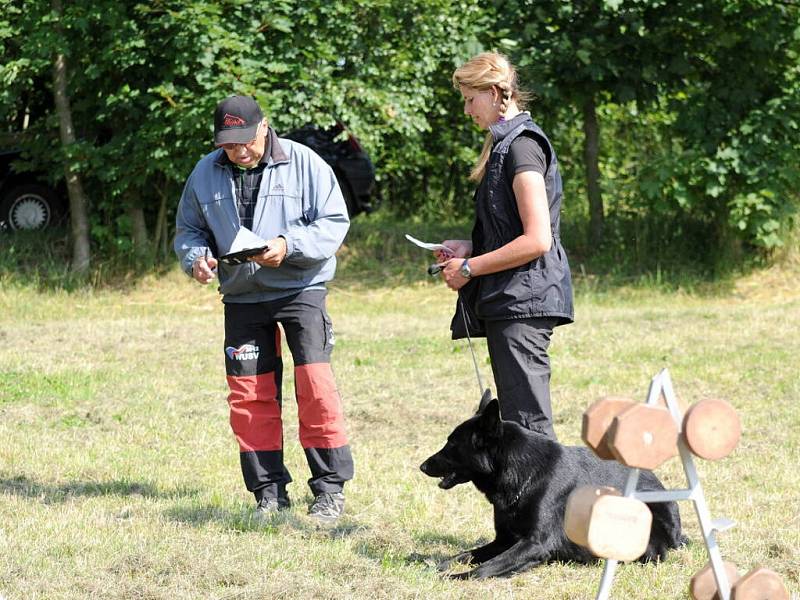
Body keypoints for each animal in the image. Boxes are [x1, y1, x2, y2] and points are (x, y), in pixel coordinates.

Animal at [418, 396, 688, 580]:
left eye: (452, 443)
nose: (422, 466)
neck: (523, 476)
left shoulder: (534, 543)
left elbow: (485, 567)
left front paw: (455, 576)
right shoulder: (504, 540)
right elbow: (467, 554)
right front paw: (439, 565)